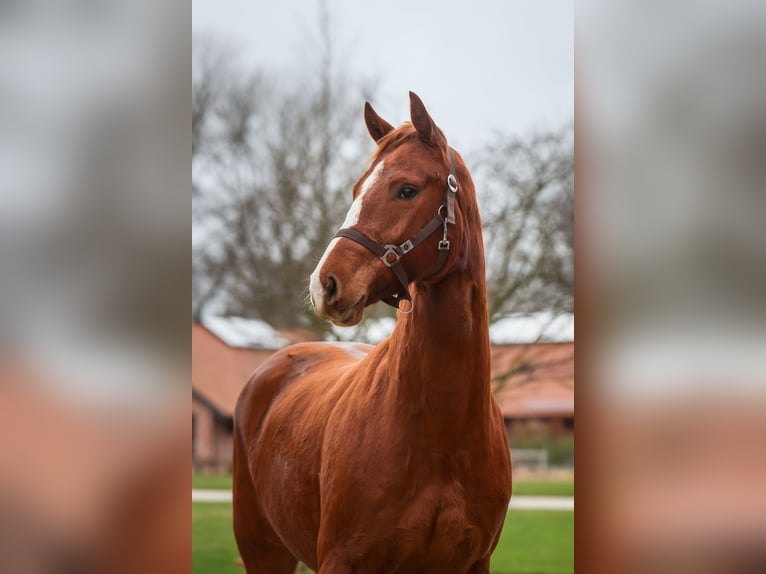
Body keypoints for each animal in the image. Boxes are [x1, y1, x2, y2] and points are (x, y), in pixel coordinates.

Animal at [233, 92, 512, 573]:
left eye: (407, 189)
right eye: (356, 190)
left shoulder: (475, 563)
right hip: (263, 553)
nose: (325, 284)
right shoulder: (342, 559)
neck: (443, 429)